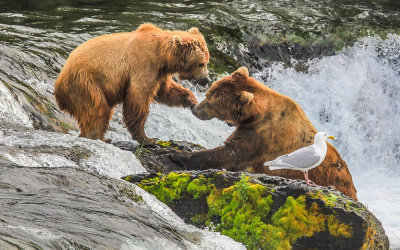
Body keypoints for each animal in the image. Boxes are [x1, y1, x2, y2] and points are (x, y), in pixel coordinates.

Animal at [54, 23, 211, 145]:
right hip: (84, 83)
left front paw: (191, 100)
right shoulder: (143, 65)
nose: (207, 80)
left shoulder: (159, 73)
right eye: (201, 63)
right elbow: (137, 100)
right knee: (97, 109)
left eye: (207, 61)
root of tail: (59, 82)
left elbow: (165, 91)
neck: (162, 56)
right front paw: (147, 139)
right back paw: (97, 137)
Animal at [170, 66, 358, 199]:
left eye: (211, 102)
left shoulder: (262, 137)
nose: (195, 108)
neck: (257, 115)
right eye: (209, 93)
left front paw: (178, 154)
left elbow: (230, 154)